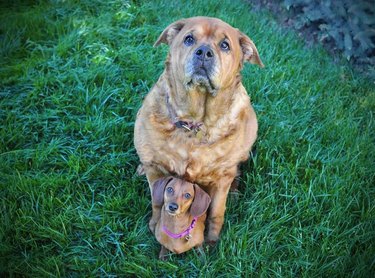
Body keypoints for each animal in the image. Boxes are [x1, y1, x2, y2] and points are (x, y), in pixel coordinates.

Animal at [135, 16, 264, 243]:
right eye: (189, 39)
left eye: (225, 45)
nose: (204, 52)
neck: (194, 123)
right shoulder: (156, 170)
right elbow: (157, 201)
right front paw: (155, 225)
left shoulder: (222, 179)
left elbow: (216, 211)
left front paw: (212, 241)